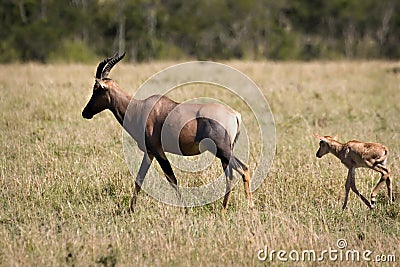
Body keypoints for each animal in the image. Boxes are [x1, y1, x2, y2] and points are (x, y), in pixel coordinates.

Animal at [81, 51, 253, 211]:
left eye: (97, 89)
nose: (85, 113)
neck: (140, 108)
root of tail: (234, 114)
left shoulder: (158, 151)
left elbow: (172, 179)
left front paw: (185, 209)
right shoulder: (149, 152)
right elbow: (139, 178)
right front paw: (130, 210)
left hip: (222, 150)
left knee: (243, 169)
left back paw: (246, 207)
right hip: (224, 152)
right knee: (231, 175)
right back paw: (224, 209)